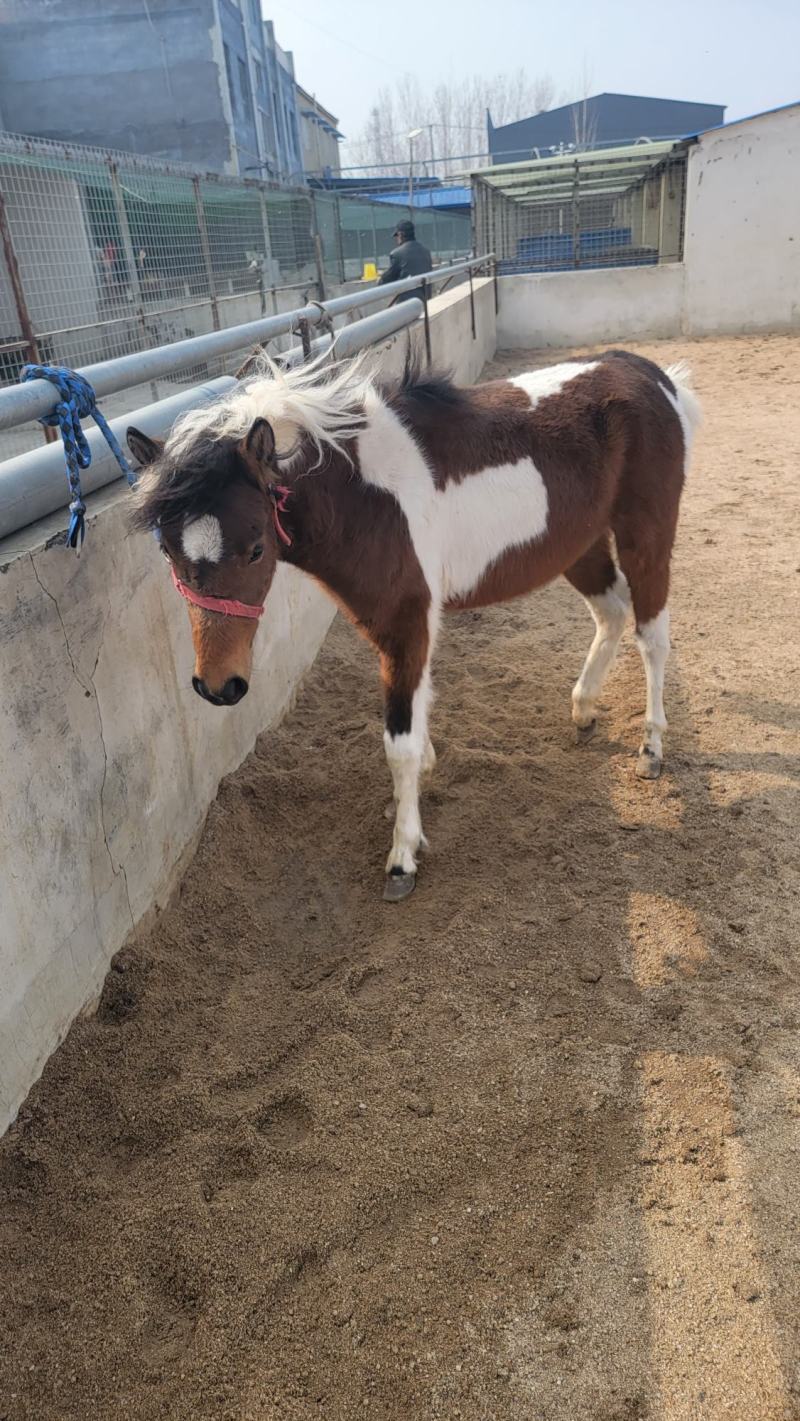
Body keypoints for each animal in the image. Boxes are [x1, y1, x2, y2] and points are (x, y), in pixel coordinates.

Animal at [127, 348, 701, 900]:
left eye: (255, 549)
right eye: (167, 549)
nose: (218, 685)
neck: (363, 497)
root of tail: (652, 376)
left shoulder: (409, 621)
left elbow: (398, 742)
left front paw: (403, 855)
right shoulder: (387, 624)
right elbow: (416, 720)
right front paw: (417, 789)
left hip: (646, 537)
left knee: (652, 636)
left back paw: (651, 747)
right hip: (578, 545)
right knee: (612, 611)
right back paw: (583, 709)